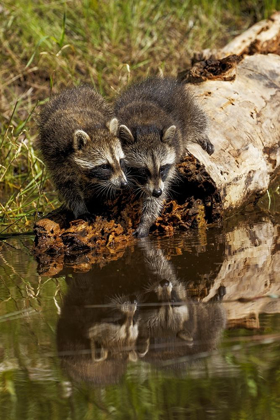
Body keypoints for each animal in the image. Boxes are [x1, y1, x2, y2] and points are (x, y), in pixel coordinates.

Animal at [37, 85, 127, 220]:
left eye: (120, 161)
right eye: (105, 166)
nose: (123, 184)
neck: (90, 128)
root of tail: (72, 89)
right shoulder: (57, 157)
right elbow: (67, 185)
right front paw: (80, 208)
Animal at [112, 76, 213, 236]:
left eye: (162, 169)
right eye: (143, 171)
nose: (157, 192)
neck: (145, 127)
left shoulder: (170, 166)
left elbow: (158, 196)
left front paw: (146, 219)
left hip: (187, 108)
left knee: (199, 120)